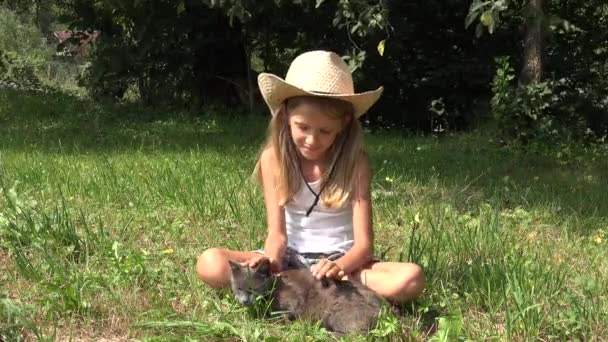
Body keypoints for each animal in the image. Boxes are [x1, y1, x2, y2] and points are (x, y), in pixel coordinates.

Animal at [228, 258, 384, 336]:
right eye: (239, 288)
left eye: (253, 289)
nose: (245, 300)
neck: (275, 286)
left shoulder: (294, 301)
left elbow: (284, 314)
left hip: (338, 309)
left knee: (357, 335)